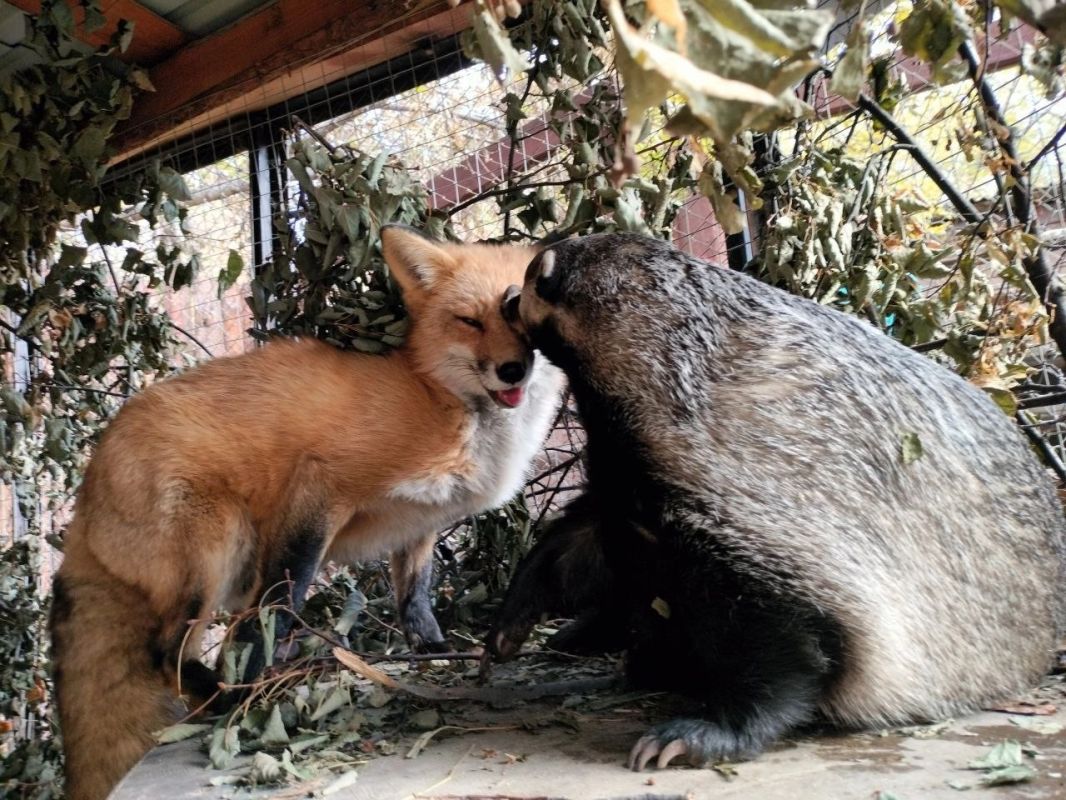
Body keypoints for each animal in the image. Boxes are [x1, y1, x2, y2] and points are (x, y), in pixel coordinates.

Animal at [48, 225, 565, 800]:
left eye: (522, 319)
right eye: (470, 321)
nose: (512, 369)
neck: (439, 399)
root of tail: (87, 491)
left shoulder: (419, 523)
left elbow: (416, 594)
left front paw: (431, 649)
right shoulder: (320, 486)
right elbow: (281, 600)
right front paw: (258, 684)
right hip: (218, 546)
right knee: (168, 654)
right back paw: (229, 695)